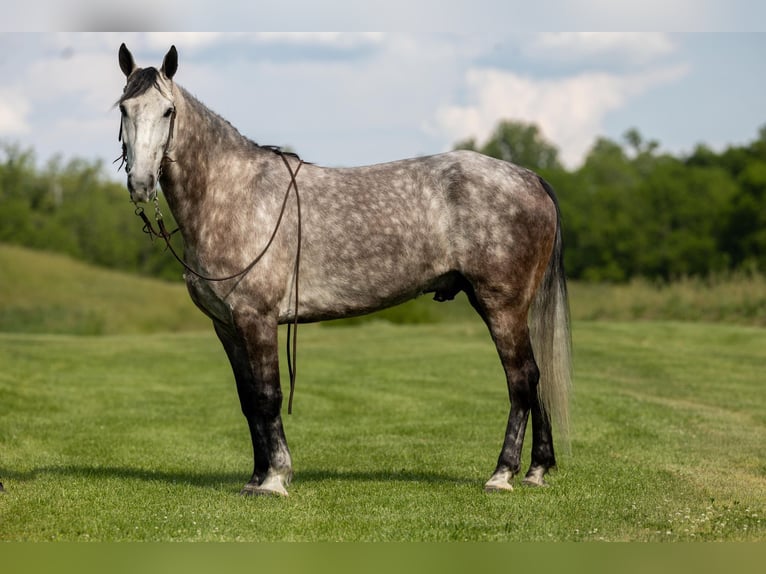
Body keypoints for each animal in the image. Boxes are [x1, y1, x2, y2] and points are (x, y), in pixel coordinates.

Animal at [117, 42, 572, 498]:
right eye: (124, 108)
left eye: (168, 111)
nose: (140, 184)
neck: (232, 193)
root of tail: (529, 177)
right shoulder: (226, 326)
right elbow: (248, 401)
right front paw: (256, 477)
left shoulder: (256, 319)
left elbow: (267, 396)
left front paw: (275, 479)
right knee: (534, 378)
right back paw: (536, 469)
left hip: (501, 306)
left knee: (520, 379)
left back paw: (503, 474)